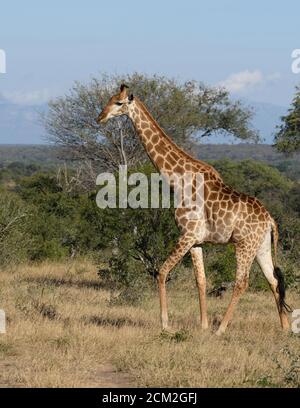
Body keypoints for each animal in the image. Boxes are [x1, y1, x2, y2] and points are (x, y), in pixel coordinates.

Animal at [96, 83, 290, 334]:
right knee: (273, 280)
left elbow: (162, 272)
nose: (100, 117)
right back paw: (284, 328)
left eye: (118, 103)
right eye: (109, 99)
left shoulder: (186, 234)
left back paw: (221, 329)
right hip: (261, 246)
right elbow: (201, 280)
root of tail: (270, 221)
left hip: (244, 244)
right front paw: (203, 325)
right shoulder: (196, 240)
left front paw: (166, 324)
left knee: (242, 282)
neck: (178, 179)